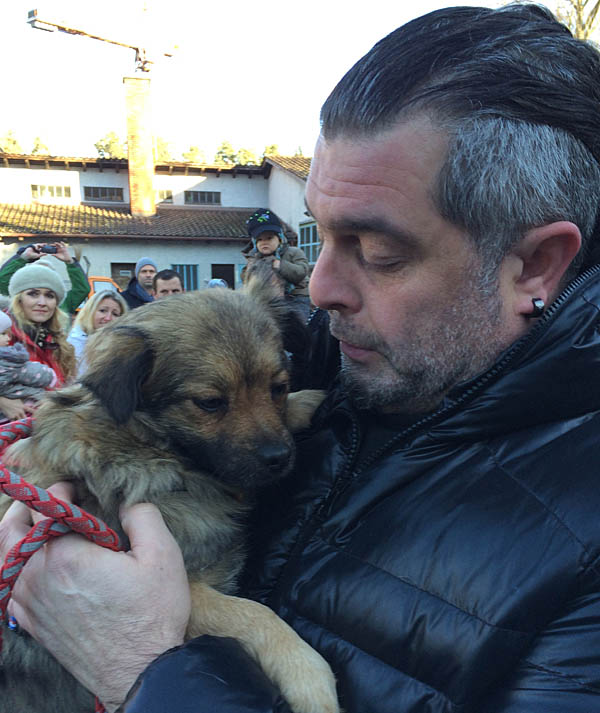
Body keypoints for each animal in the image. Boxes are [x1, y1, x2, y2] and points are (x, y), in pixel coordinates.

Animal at [0, 277, 339, 713]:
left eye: (278, 388)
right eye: (210, 403)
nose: (279, 458)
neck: (157, 451)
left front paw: (308, 403)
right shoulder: (188, 589)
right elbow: (252, 614)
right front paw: (308, 677)